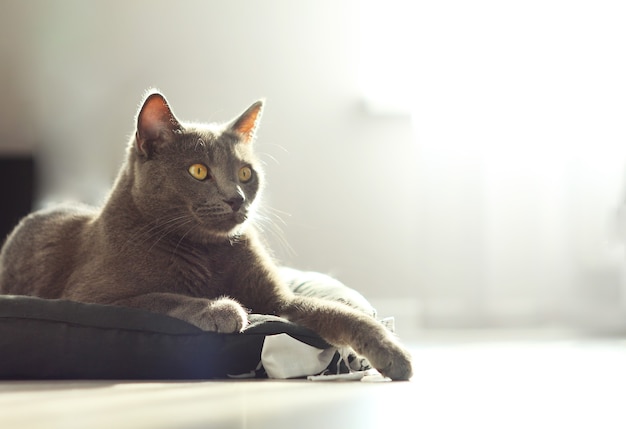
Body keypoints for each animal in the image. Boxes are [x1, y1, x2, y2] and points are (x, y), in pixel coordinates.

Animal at [0, 92, 412, 380]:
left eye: (245, 173)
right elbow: (160, 297)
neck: (209, 251)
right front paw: (222, 309)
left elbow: (341, 313)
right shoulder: (92, 297)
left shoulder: (279, 300)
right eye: (198, 171)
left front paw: (394, 355)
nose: (236, 198)